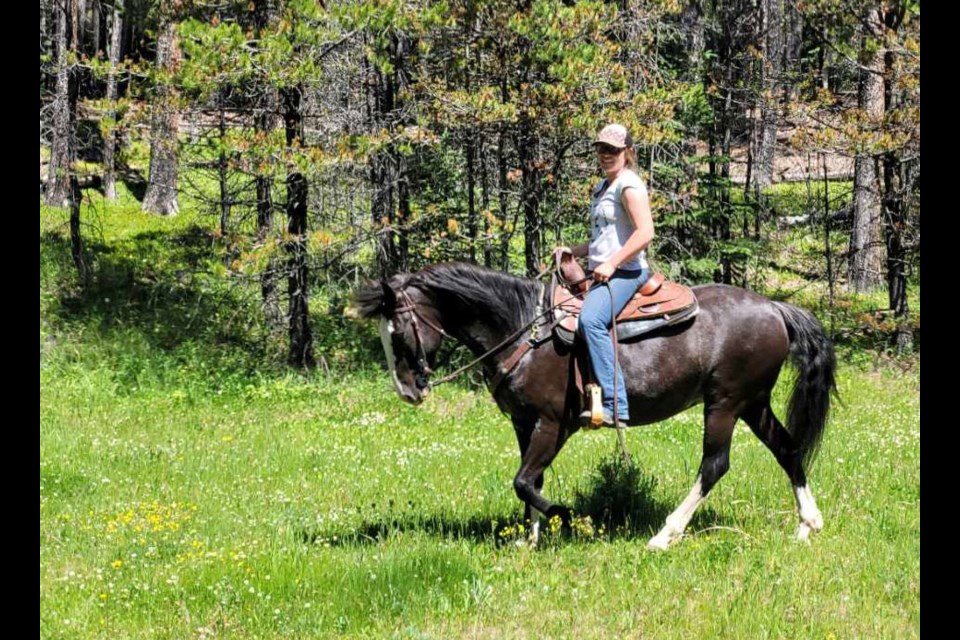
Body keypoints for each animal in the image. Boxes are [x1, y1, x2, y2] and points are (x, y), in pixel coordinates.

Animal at [352, 262, 832, 548]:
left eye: (397, 332)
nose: (407, 391)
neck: (523, 329)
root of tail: (776, 308)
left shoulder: (552, 423)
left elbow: (524, 481)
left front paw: (566, 518)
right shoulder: (524, 424)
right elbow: (531, 479)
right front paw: (530, 539)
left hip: (724, 404)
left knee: (714, 465)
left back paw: (665, 534)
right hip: (753, 402)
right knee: (788, 449)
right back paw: (807, 525)